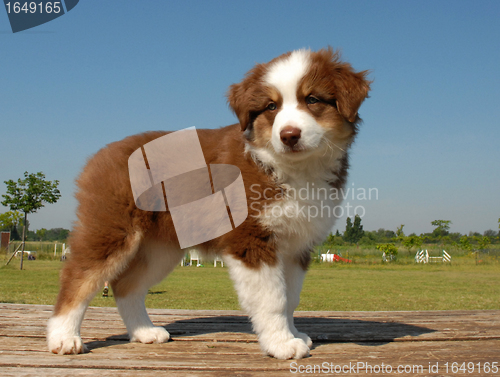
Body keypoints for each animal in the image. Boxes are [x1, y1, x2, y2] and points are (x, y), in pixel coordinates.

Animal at [47, 47, 372, 358]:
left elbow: (290, 297)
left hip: (160, 247)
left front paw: (294, 334)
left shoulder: (296, 245)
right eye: (271, 107)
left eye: (313, 99)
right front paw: (281, 344)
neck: (291, 168)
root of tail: (101, 154)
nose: (289, 136)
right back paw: (64, 338)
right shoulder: (251, 239)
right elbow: (273, 299)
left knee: (125, 285)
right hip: (112, 228)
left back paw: (144, 332)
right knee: (78, 278)